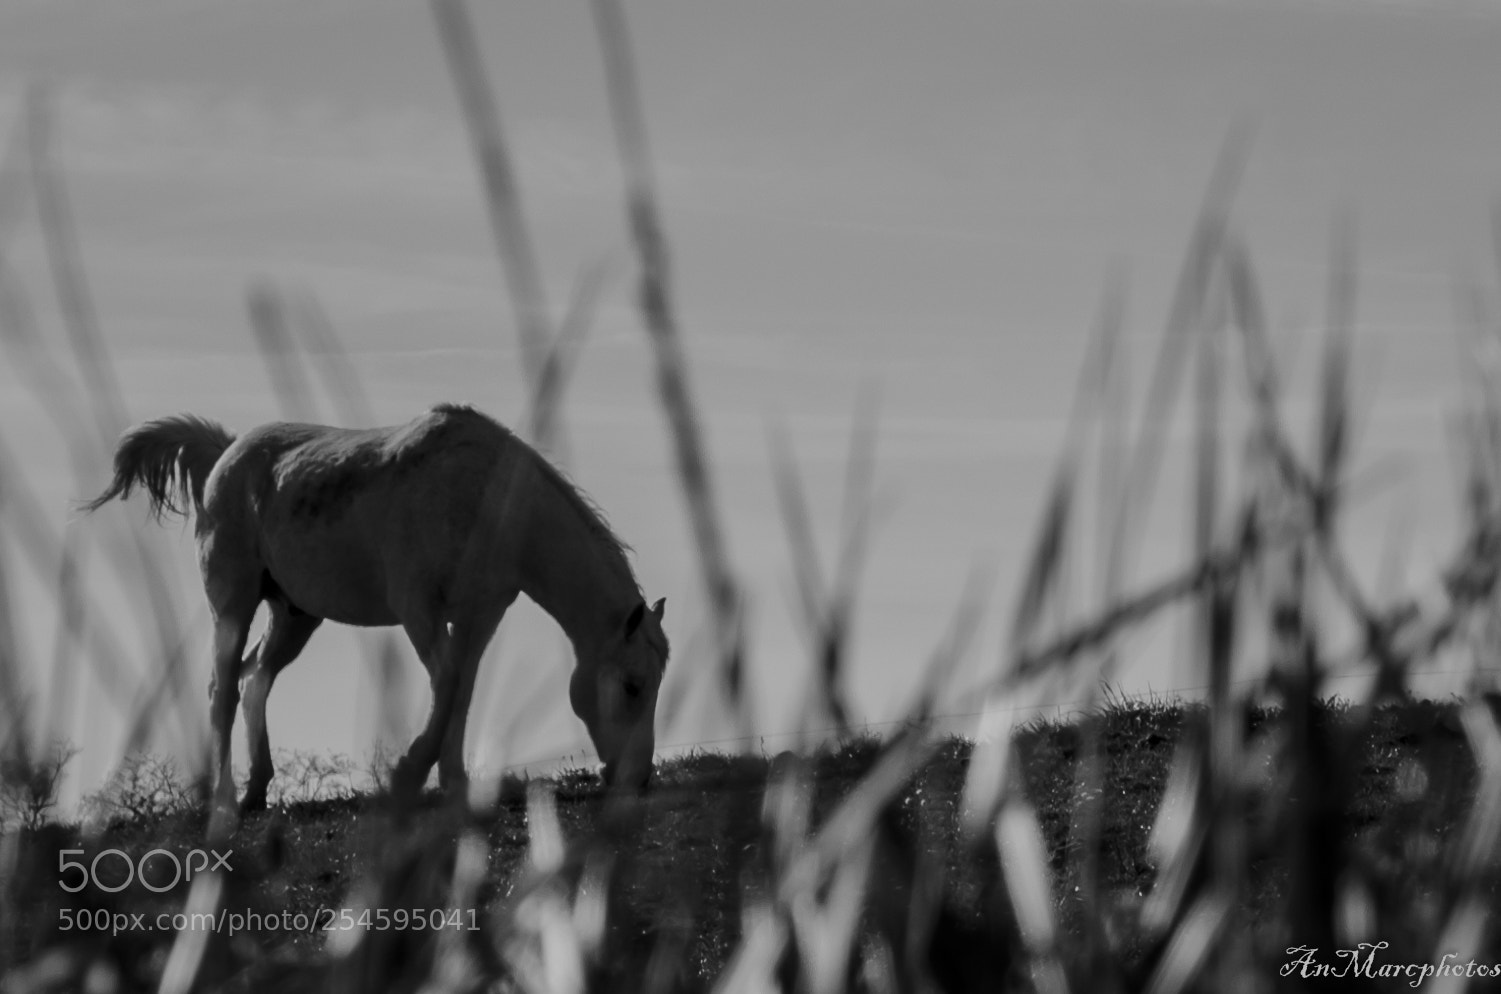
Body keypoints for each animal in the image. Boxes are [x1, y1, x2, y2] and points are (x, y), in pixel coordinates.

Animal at [83, 403, 668, 828]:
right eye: (633, 686)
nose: (638, 778)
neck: (482, 494)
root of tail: (227, 453)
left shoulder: (480, 616)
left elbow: (461, 690)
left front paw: (454, 784)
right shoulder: (418, 609)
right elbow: (447, 683)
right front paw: (410, 772)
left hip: (295, 616)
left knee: (257, 680)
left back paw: (256, 791)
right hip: (233, 602)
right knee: (223, 687)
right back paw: (225, 799)